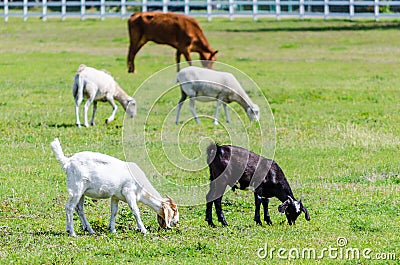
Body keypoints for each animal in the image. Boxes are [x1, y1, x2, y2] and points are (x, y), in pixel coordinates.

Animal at [50, 138, 179, 235]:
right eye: (174, 211)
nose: (177, 222)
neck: (141, 189)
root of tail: (67, 162)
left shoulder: (116, 196)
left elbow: (114, 211)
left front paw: (112, 229)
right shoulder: (129, 192)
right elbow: (135, 210)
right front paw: (143, 230)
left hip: (81, 192)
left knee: (79, 209)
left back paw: (89, 230)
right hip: (76, 189)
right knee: (69, 207)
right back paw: (72, 232)